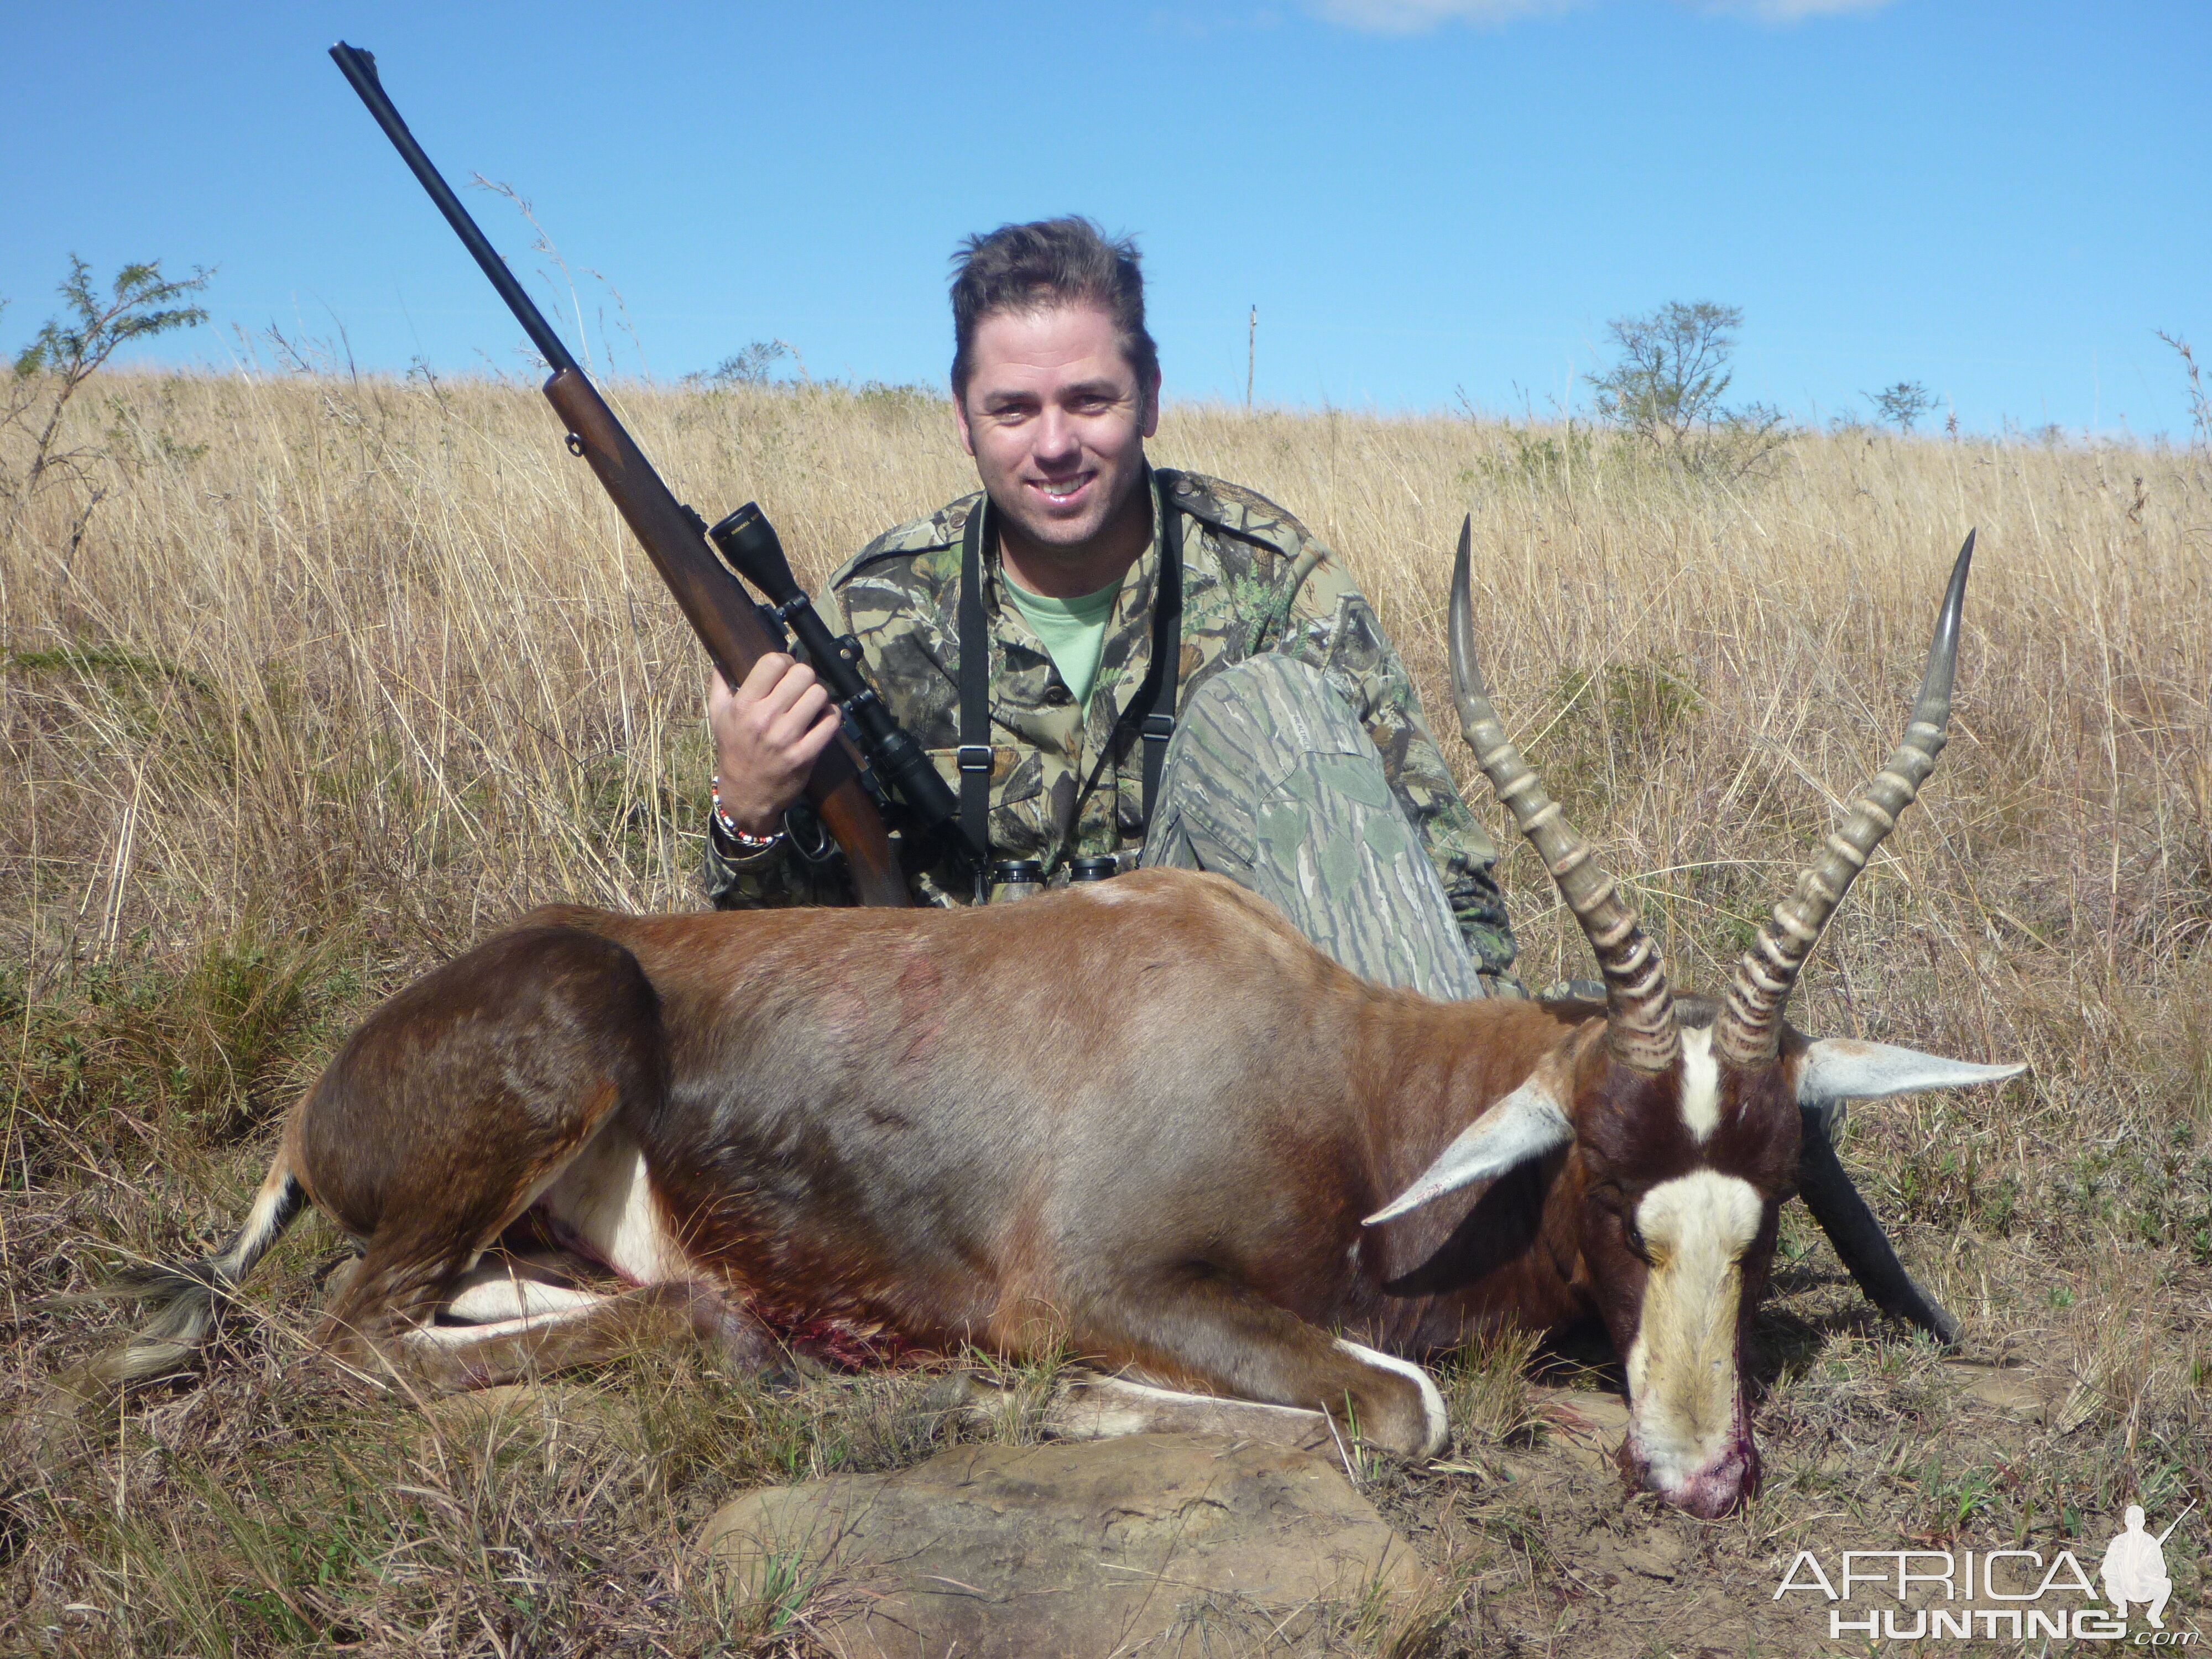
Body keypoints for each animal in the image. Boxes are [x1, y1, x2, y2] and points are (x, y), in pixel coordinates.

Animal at [91, 533, 2026, 1522]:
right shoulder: (1104, 1282)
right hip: (550, 1066)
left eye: (1768, 1198)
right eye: (1613, 1182)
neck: (1332, 1069)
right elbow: (1398, 1404)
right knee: (351, 1343)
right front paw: (1064, 1407)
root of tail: (317, 1101)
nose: (1701, 1474)